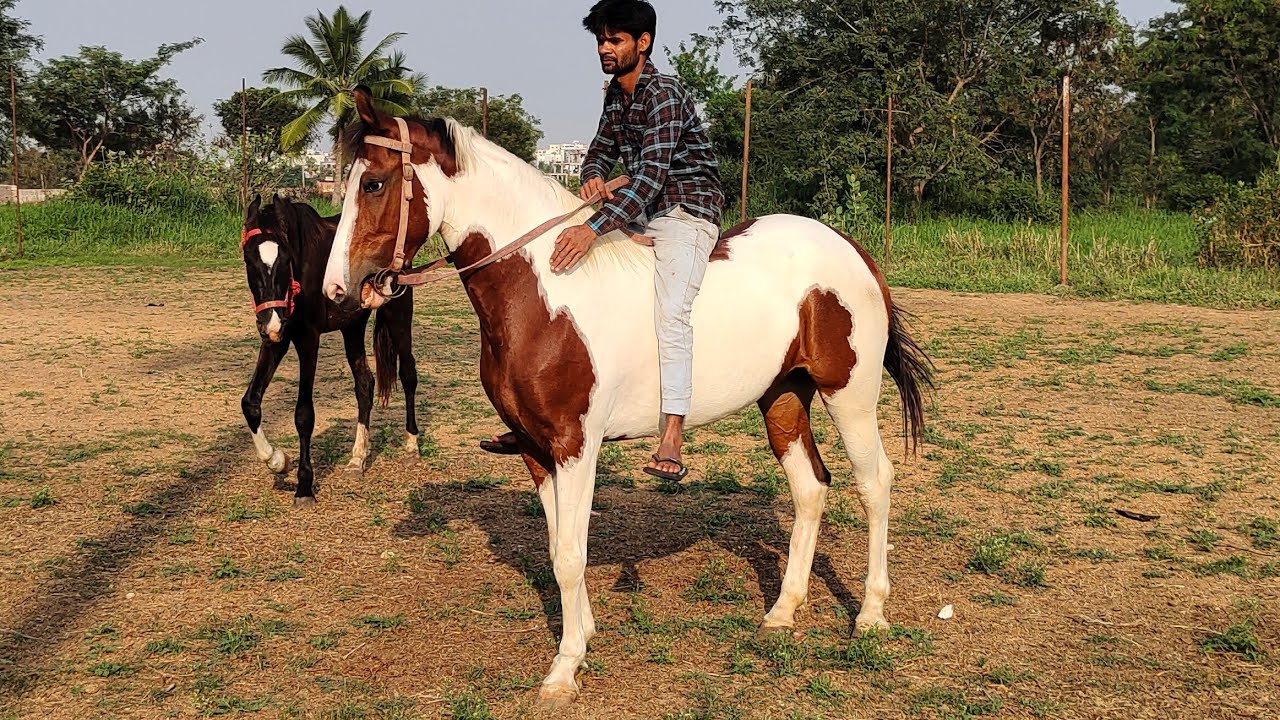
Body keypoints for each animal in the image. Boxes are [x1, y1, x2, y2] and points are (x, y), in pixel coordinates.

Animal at [239, 193, 422, 508]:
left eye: (285, 259)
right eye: (249, 259)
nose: (269, 321)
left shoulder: (307, 340)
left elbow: (303, 415)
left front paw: (304, 486)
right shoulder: (277, 339)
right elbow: (250, 403)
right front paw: (277, 461)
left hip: (398, 314)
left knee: (408, 374)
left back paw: (411, 446)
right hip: (352, 326)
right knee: (365, 385)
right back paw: (357, 459)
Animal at [321, 87, 933, 708]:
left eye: (373, 183)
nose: (338, 290)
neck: (546, 292)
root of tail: (851, 250)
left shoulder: (576, 446)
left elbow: (572, 556)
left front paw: (565, 667)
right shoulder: (535, 450)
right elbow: (557, 548)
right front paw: (583, 634)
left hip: (850, 395)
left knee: (874, 484)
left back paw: (870, 614)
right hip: (782, 398)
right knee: (811, 488)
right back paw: (783, 611)